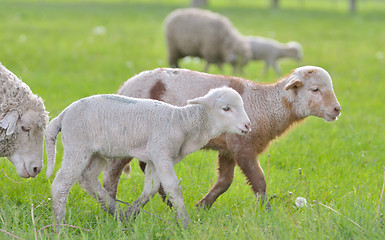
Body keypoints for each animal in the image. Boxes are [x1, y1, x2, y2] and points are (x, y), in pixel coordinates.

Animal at [45, 87, 249, 228]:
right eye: (226, 108)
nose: (248, 126)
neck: (183, 123)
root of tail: (63, 114)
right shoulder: (161, 151)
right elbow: (173, 187)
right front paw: (185, 223)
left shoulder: (153, 158)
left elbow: (150, 189)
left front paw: (130, 215)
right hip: (78, 147)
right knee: (61, 185)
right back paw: (60, 226)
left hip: (98, 153)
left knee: (88, 178)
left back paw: (115, 212)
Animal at [102, 65, 340, 210]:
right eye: (315, 89)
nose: (337, 110)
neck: (267, 106)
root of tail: (125, 86)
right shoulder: (243, 145)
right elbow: (259, 180)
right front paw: (267, 212)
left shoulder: (229, 149)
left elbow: (225, 181)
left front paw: (202, 206)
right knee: (111, 173)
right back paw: (110, 206)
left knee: (146, 167)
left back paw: (166, 201)